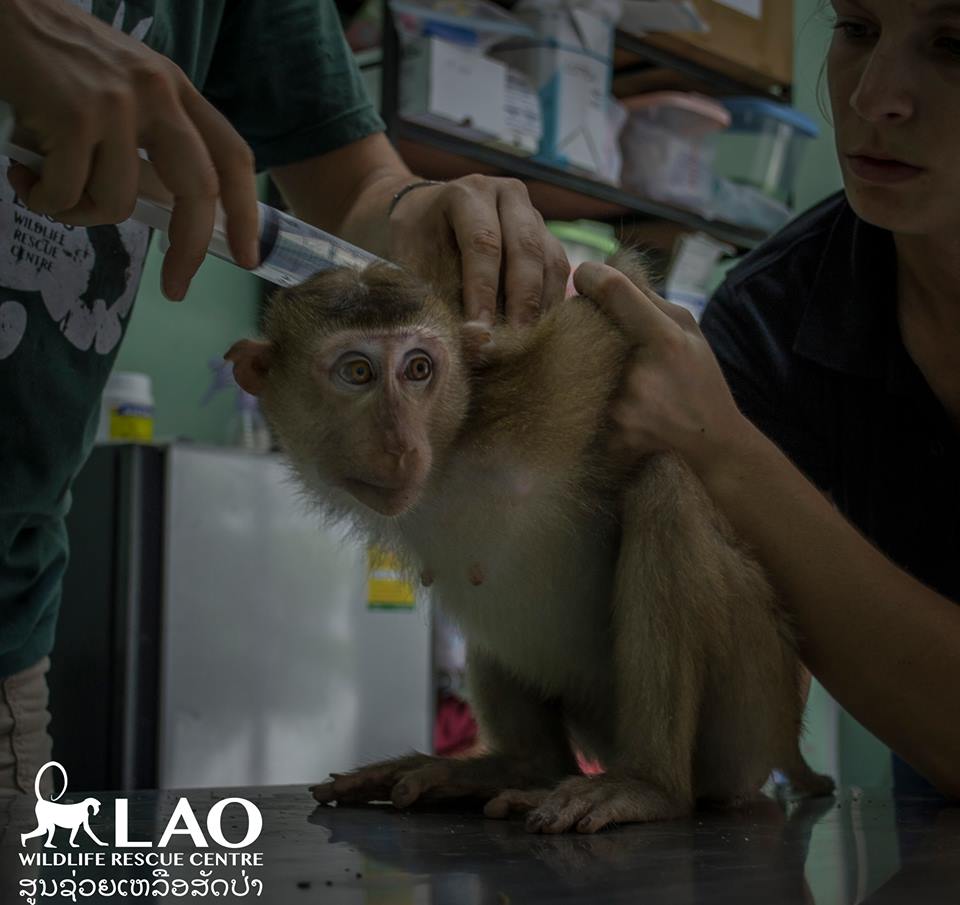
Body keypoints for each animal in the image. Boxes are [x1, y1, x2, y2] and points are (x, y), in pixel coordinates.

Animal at [226, 251, 835, 835]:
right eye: (357, 371)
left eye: (419, 368)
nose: (399, 445)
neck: (450, 457)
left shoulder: (556, 379)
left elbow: (621, 300)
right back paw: (517, 769)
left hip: (749, 718)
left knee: (667, 488)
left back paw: (650, 785)